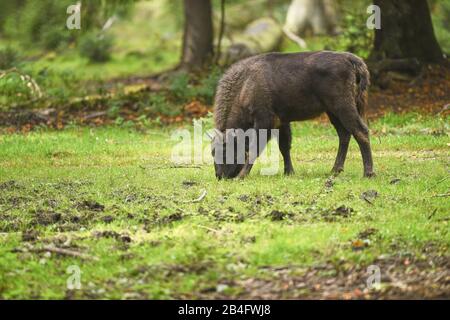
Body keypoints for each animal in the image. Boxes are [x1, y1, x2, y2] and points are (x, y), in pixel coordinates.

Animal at [213, 51, 374, 179]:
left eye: (224, 151)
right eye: (213, 152)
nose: (220, 176)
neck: (245, 85)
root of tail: (350, 59)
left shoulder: (264, 120)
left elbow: (255, 148)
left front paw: (241, 176)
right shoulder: (281, 122)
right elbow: (284, 147)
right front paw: (289, 172)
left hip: (343, 107)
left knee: (360, 131)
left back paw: (368, 173)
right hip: (333, 112)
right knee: (344, 134)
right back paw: (335, 170)